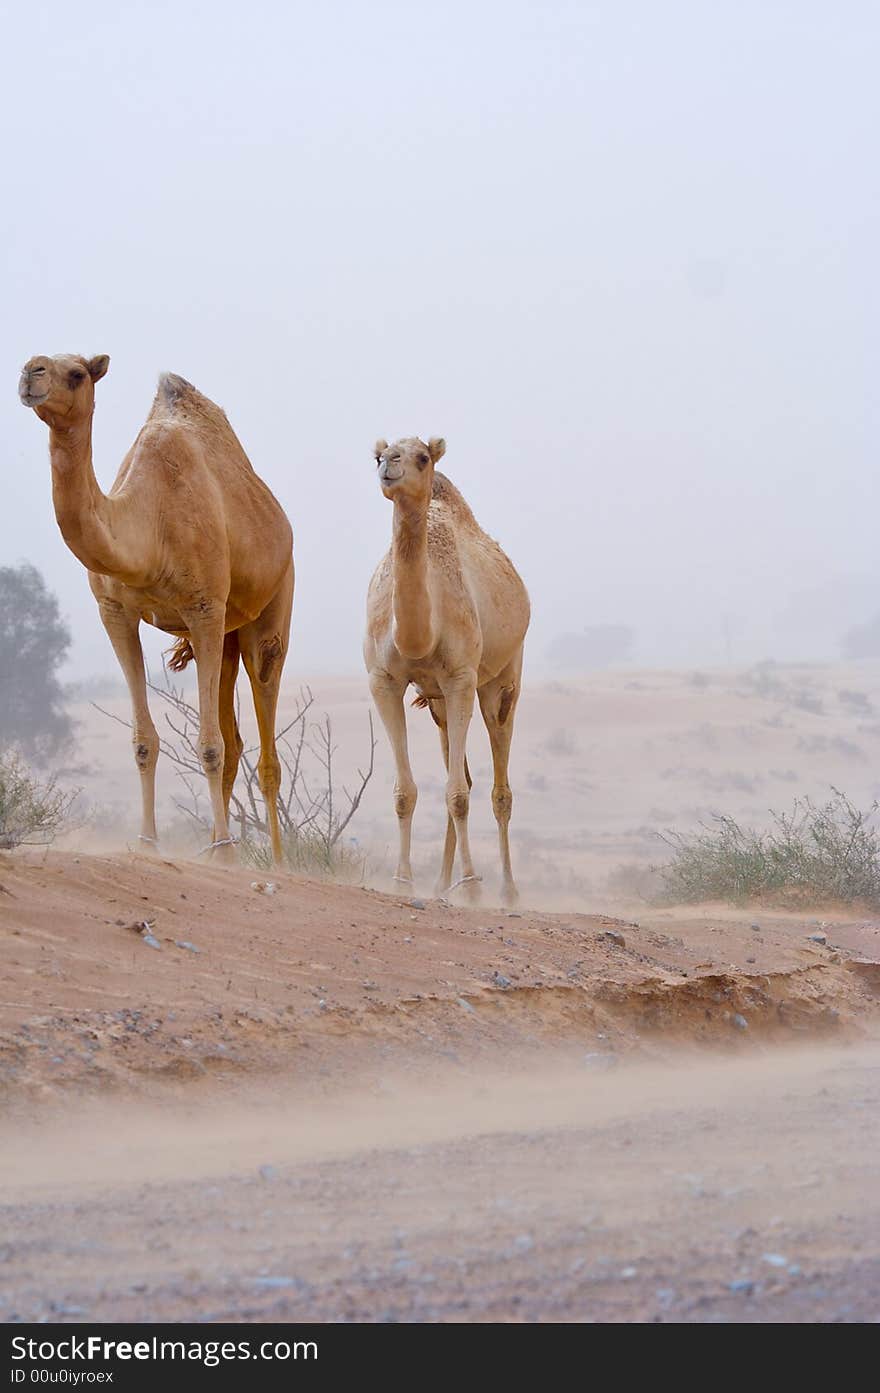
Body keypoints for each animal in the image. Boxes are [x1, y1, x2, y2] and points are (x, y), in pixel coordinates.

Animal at [18, 353, 293, 863]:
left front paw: (225, 850)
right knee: (233, 736)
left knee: (265, 738)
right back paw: (212, 845)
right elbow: (146, 740)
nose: (31, 372)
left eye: (78, 373)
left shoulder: (203, 606)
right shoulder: (115, 612)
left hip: (269, 613)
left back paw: (278, 861)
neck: (150, 531)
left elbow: (209, 745)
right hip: (225, 634)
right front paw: (148, 843)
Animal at [362, 440, 529, 908]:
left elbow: (458, 795)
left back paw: (508, 890)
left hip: (502, 680)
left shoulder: (460, 679)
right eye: (379, 455)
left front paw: (472, 886)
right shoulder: (382, 681)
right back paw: (440, 883)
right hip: (436, 702)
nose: (388, 466)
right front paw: (403, 881)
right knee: (466, 774)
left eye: (421, 456)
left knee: (499, 789)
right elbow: (406, 792)